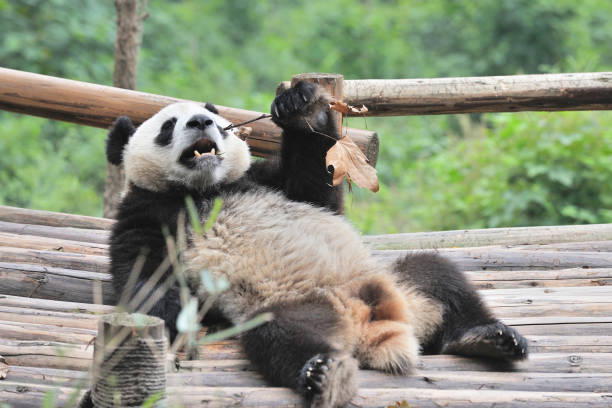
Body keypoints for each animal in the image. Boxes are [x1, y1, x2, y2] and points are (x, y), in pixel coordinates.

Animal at [106, 82, 524, 408]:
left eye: (216, 121)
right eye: (167, 126)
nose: (200, 123)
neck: (206, 189)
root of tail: (373, 322)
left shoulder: (264, 180)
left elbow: (317, 185)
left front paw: (298, 104)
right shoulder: (148, 212)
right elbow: (144, 278)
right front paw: (175, 329)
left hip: (401, 286)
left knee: (437, 274)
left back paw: (488, 338)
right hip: (303, 307)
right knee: (279, 335)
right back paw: (322, 373)